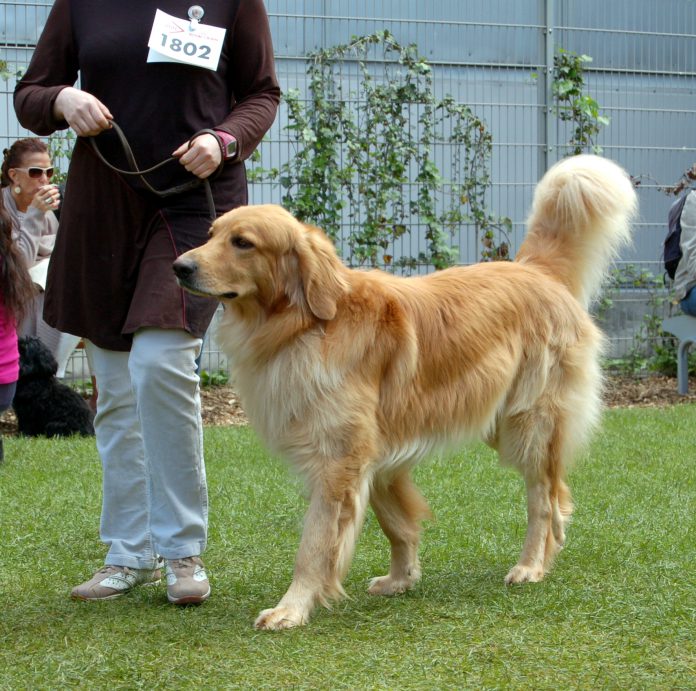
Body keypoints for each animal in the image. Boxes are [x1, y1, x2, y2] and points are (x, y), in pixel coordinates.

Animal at [173, 154, 636, 628]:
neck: (304, 325)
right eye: (210, 235)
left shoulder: (338, 460)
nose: (179, 267)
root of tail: (533, 269)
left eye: (242, 243)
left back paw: (530, 565)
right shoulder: (377, 456)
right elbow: (396, 524)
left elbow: (315, 543)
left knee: (542, 498)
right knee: (559, 493)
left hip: (528, 424)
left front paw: (293, 607)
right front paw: (402, 579)